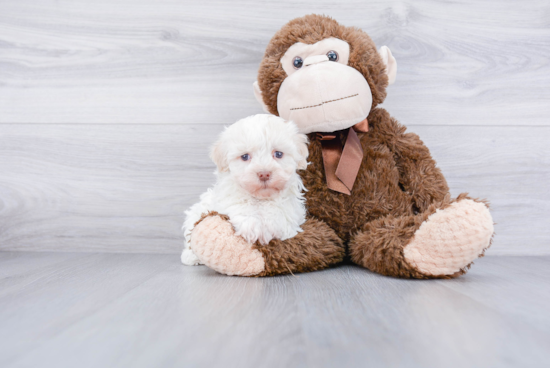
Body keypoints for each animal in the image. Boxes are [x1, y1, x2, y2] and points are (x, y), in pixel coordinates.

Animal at [182, 113, 308, 266]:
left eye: (278, 154)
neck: (260, 198)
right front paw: (252, 227)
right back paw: (190, 256)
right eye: (245, 157)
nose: (264, 174)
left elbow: (278, 212)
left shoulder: (290, 208)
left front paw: (267, 227)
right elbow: (240, 205)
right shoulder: (227, 197)